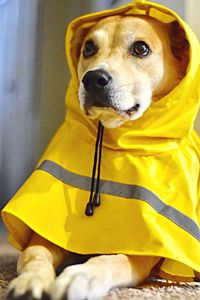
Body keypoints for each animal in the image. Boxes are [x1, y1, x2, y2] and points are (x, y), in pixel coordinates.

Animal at [5, 12, 188, 300]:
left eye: (141, 48)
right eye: (88, 48)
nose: (92, 79)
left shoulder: (140, 252)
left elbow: (111, 260)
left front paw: (80, 276)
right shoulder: (43, 236)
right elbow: (35, 256)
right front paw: (30, 281)